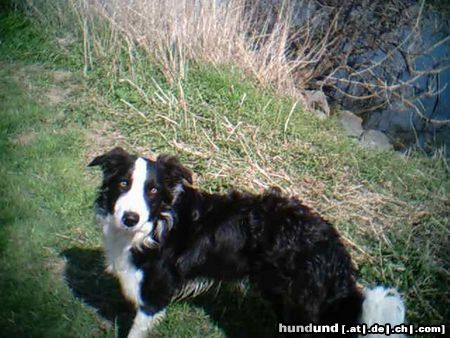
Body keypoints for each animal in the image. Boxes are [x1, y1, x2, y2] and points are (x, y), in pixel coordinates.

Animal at [89, 147, 406, 338]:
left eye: (152, 191)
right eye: (123, 184)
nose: (130, 218)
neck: (153, 225)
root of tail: (335, 248)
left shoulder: (156, 292)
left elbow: (137, 328)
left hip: (302, 307)